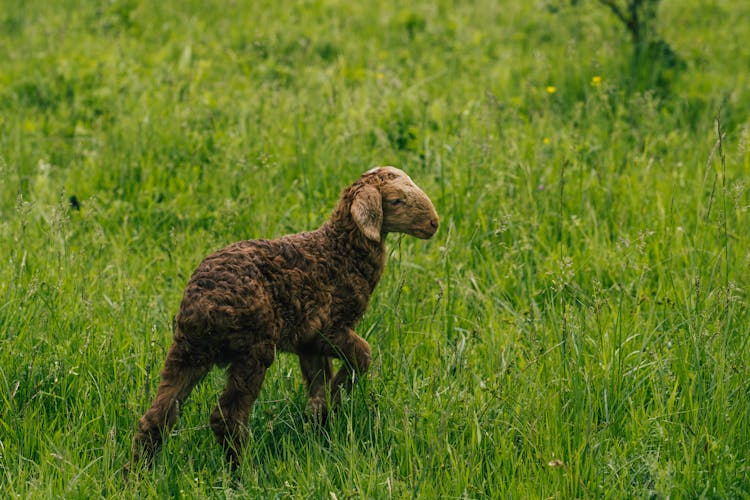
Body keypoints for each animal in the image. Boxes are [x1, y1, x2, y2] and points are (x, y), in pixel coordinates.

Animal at [131, 166, 440, 466]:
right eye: (396, 200)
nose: (434, 224)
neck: (340, 251)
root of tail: (202, 308)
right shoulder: (329, 329)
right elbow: (363, 355)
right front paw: (338, 392)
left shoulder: (308, 344)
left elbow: (319, 386)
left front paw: (321, 420)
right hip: (253, 349)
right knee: (227, 418)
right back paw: (244, 472)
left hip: (187, 353)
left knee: (157, 417)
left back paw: (136, 473)